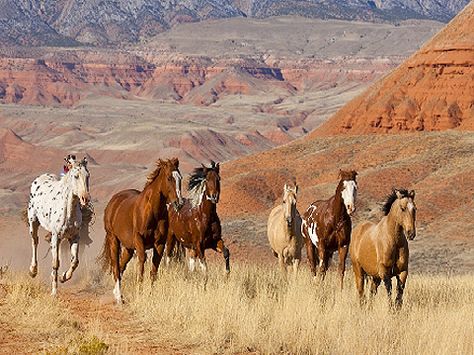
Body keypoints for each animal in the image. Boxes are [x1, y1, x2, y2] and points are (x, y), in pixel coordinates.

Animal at [26, 159, 90, 298]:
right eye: (76, 176)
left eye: (87, 176)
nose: (85, 198)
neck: (68, 211)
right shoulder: (56, 236)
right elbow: (55, 263)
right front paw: (54, 292)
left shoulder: (74, 237)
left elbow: (75, 261)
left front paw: (63, 277)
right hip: (33, 222)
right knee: (35, 241)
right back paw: (33, 270)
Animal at [100, 160, 183, 304]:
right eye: (169, 178)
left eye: (180, 178)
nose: (179, 203)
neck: (152, 212)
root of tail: (113, 201)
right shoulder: (139, 240)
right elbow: (142, 263)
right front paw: (140, 291)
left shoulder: (160, 244)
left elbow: (154, 269)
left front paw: (150, 294)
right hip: (113, 240)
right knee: (116, 267)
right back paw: (119, 298)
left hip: (128, 248)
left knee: (121, 266)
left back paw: (117, 294)